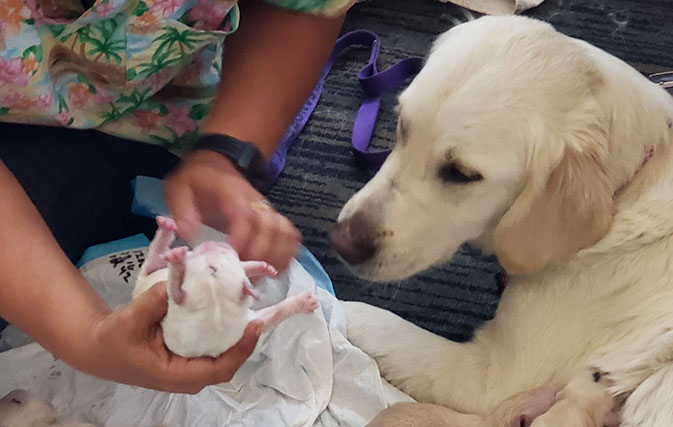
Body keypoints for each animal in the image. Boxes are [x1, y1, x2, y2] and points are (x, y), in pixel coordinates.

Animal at [135, 216, 320, 360]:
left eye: (214, 267)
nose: (212, 243)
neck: (215, 307)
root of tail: (140, 283)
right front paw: (178, 261)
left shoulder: (245, 325)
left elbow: (274, 313)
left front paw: (303, 302)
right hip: (149, 271)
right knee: (155, 255)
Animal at [330, 15, 673, 426]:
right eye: (402, 127)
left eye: (461, 173)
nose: (341, 242)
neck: (629, 185)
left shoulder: (487, 379)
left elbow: (364, 317)